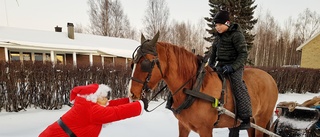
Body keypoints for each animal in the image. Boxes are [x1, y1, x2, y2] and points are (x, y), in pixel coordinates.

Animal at [129, 32, 278, 137]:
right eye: (133, 62)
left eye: (145, 64)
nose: (132, 94)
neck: (196, 87)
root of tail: (271, 78)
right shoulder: (183, 126)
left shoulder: (205, 129)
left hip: (261, 119)